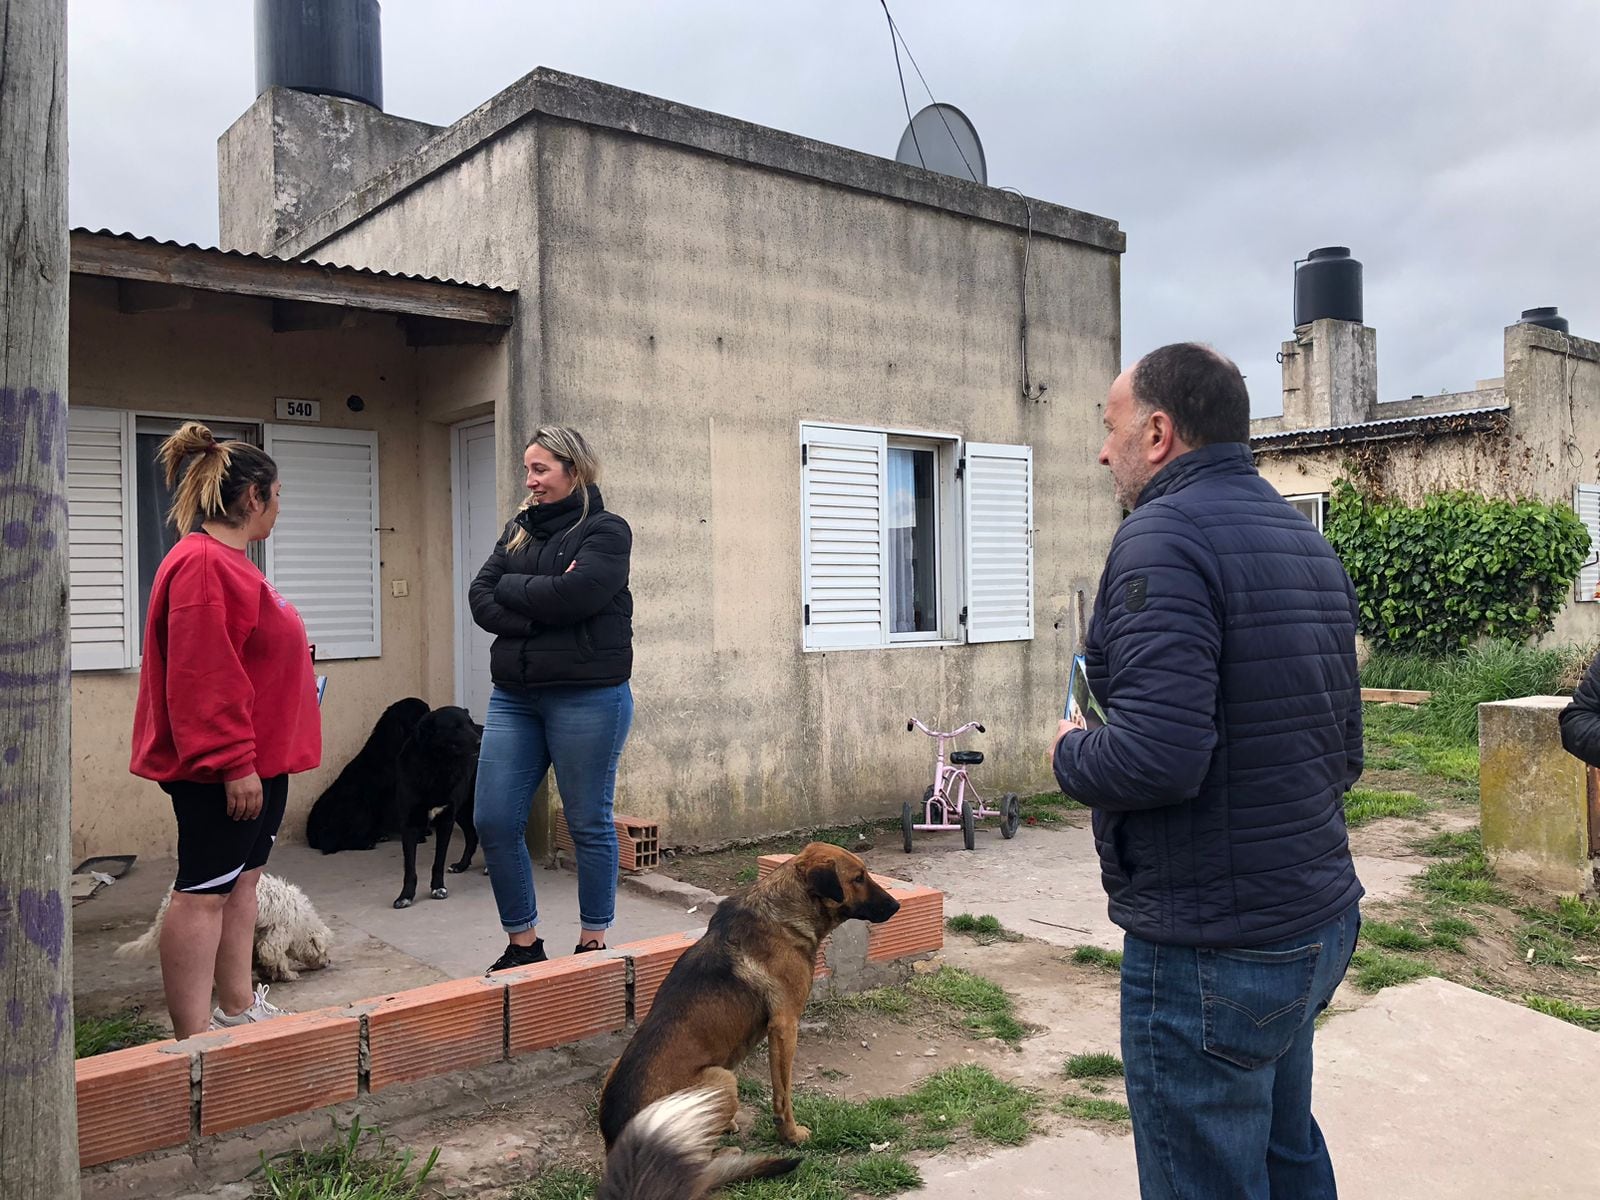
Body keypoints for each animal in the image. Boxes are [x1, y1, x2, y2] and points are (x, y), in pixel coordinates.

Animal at [117, 876, 334, 985]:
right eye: (325, 951)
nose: (329, 962)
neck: (302, 920)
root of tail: (167, 903)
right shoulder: (278, 931)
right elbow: (273, 954)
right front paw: (286, 974)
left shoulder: (259, 933)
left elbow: (260, 954)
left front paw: (265, 971)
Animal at [392, 704, 480, 908]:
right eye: (456, 727)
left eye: (470, 724)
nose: (481, 741)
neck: (436, 766)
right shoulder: (409, 824)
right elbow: (410, 867)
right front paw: (405, 895)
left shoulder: (445, 820)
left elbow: (438, 861)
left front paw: (438, 888)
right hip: (463, 810)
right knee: (472, 836)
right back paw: (462, 865)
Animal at [598, 838, 902, 1152]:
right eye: (858, 878)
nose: (897, 905)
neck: (786, 909)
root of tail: (619, 1137)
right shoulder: (785, 1026)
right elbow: (783, 1094)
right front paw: (791, 1135)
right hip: (722, 1079)